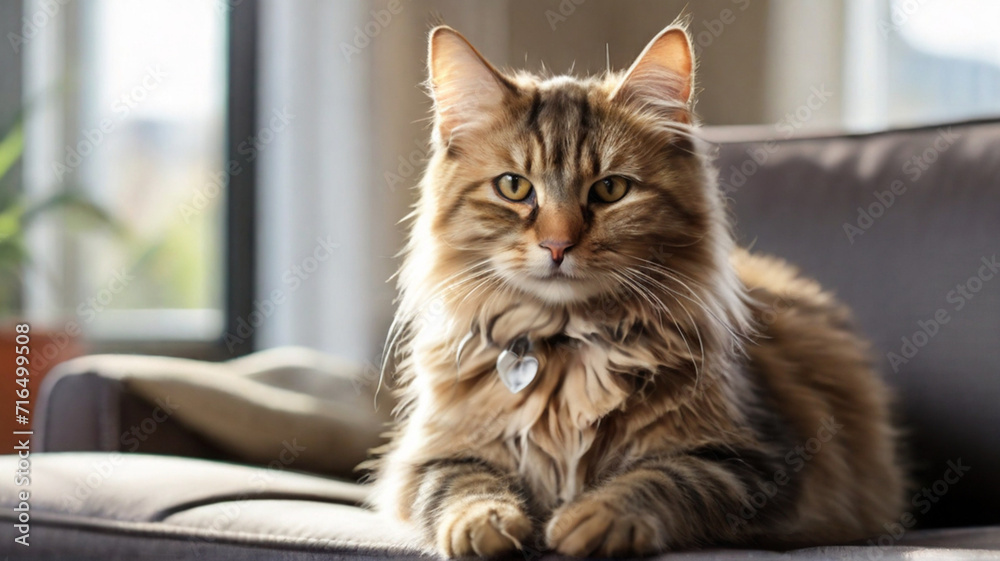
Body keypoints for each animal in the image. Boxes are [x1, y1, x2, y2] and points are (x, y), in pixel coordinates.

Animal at [372, 21, 912, 556]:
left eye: (611, 190)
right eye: (513, 187)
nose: (557, 245)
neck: (569, 347)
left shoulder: (756, 461)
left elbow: (664, 477)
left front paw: (594, 518)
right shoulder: (428, 457)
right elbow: (462, 485)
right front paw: (486, 524)